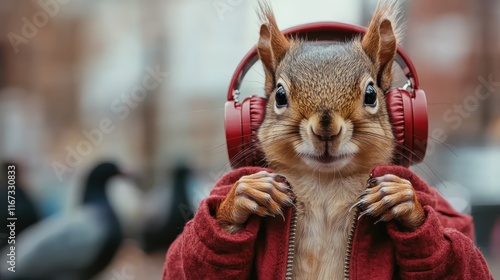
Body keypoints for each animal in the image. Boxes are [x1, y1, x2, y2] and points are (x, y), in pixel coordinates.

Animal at [215, 1, 426, 278]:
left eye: (371, 94)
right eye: (279, 95)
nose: (326, 130)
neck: (325, 183)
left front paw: (401, 196)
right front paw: (247, 192)